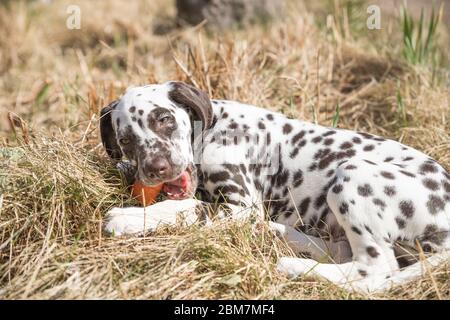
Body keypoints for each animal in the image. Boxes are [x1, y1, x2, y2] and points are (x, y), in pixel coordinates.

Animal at [101, 81, 450, 294]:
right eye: (126, 140)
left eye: (164, 119)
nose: (156, 169)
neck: (214, 128)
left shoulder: (242, 205)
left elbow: (187, 207)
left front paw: (128, 218)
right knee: (344, 250)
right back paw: (279, 234)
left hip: (351, 175)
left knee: (375, 268)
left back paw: (294, 266)